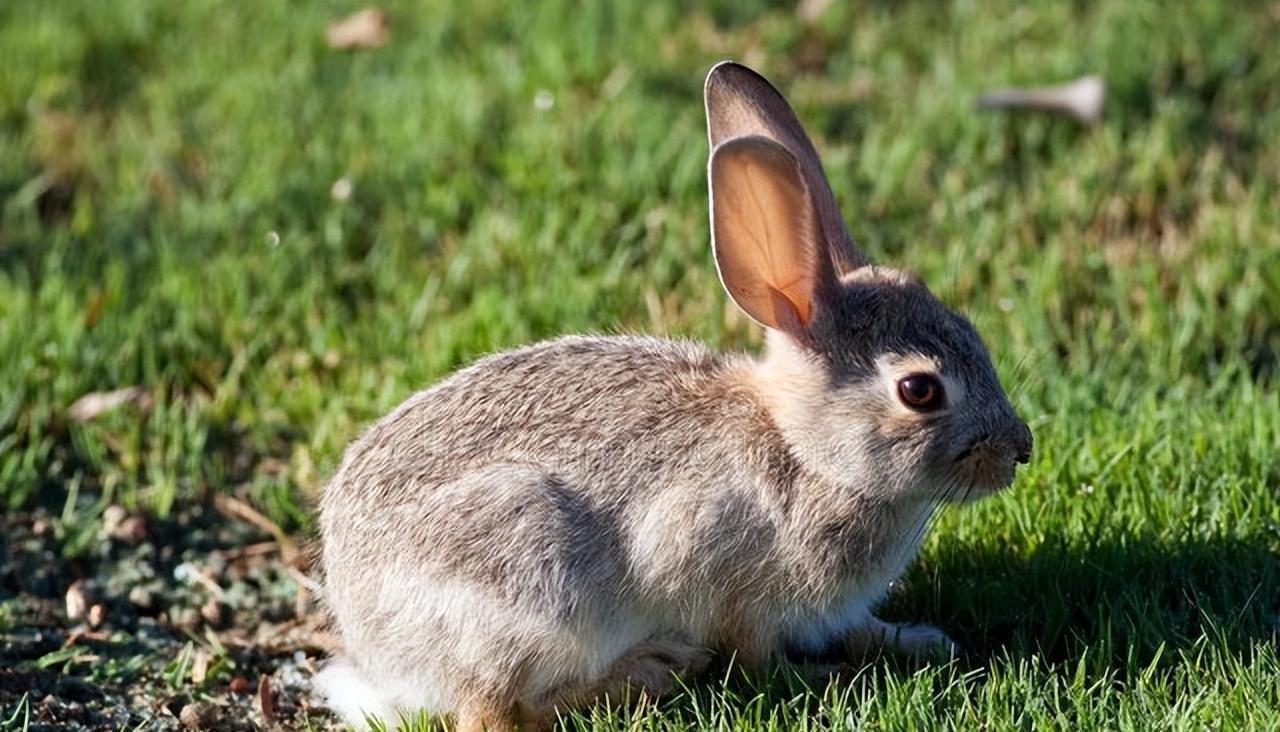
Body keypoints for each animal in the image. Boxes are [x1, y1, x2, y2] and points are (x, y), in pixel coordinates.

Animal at [314, 61, 1034, 732]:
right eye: (920, 390)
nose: (1019, 449)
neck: (805, 451)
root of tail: (376, 652)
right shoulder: (729, 581)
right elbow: (758, 656)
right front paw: (824, 677)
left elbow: (858, 626)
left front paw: (919, 640)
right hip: (528, 573)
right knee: (497, 712)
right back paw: (650, 670)